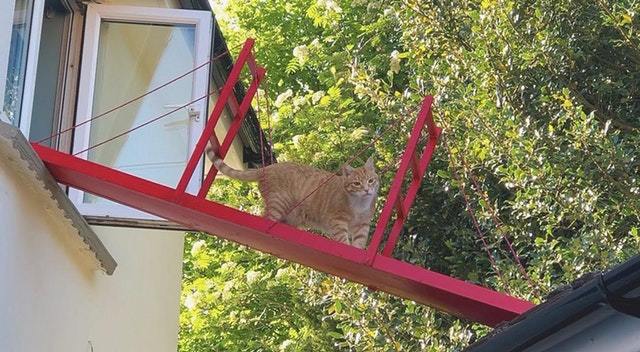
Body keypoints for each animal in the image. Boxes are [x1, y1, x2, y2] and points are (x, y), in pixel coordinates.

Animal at [212, 155, 378, 249]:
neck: (360, 205)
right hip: (279, 202)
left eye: (371, 180)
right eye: (357, 183)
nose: (366, 190)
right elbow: (343, 238)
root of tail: (269, 167)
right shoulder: (338, 220)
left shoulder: (362, 225)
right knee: (265, 218)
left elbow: (359, 242)